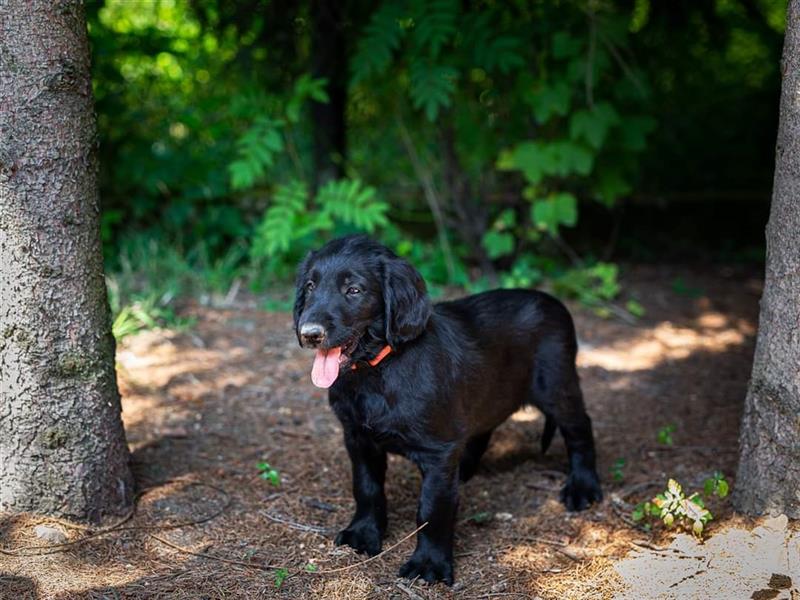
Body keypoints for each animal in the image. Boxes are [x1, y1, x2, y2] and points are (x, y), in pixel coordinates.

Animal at [292, 236, 600, 584]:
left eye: (354, 290)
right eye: (310, 286)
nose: (309, 333)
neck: (377, 371)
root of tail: (554, 301)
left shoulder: (437, 451)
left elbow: (432, 508)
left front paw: (429, 563)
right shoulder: (358, 438)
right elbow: (367, 488)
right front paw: (364, 533)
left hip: (558, 386)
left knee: (580, 429)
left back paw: (583, 487)